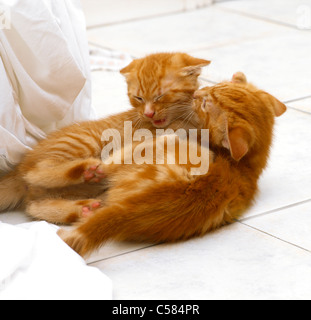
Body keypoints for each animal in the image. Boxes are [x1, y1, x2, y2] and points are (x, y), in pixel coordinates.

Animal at [0, 52, 211, 212]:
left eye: (160, 96)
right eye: (139, 98)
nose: (148, 113)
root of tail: (20, 166)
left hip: (51, 194)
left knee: (36, 206)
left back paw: (83, 208)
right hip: (84, 141)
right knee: (36, 171)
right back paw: (85, 169)